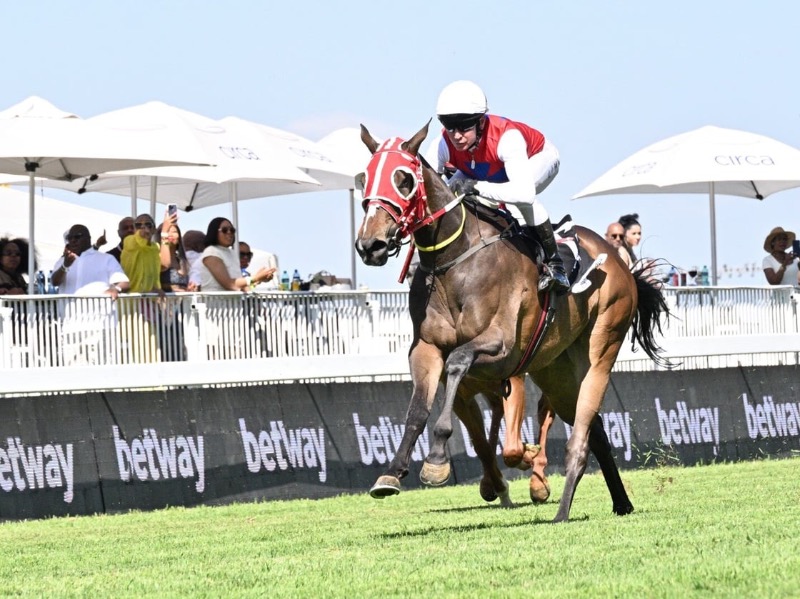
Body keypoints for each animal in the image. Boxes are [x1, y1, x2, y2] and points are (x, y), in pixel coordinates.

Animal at [354, 122, 668, 523]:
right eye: (364, 178)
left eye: (404, 179)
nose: (371, 245)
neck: (455, 261)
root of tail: (617, 259)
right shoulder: (426, 348)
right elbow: (418, 410)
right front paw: (392, 473)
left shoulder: (502, 348)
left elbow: (458, 362)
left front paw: (437, 459)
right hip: (555, 370)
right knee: (595, 429)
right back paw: (621, 503)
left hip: (601, 348)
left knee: (582, 435)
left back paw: (561, 511)